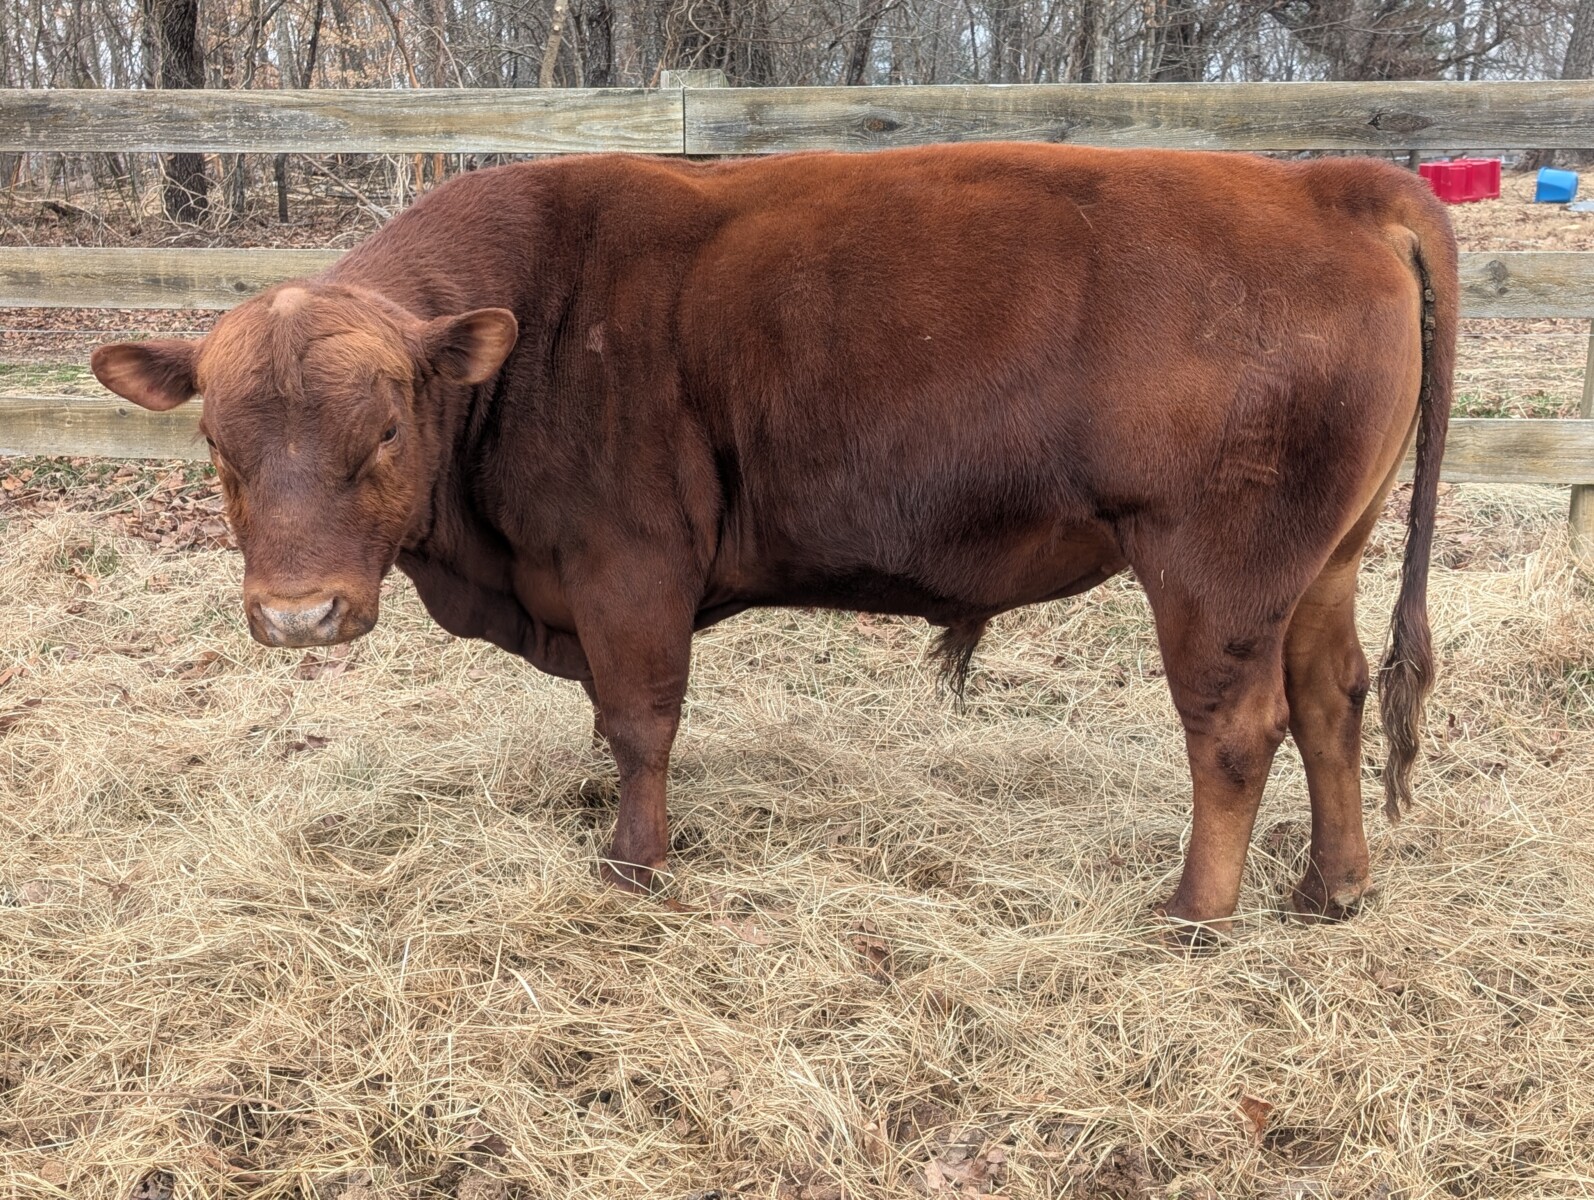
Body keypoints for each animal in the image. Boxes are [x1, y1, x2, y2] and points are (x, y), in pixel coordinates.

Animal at [91, 143, 1456, 937]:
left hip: (1215, 562)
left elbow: (640, 722)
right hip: (1322, 559)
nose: (298, 614)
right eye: (216, 442)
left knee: (1235, 727)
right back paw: (1331, 888)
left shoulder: (630, 564)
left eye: (382, 430)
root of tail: (1329, 180)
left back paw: (1191, 911)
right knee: (1330, 698)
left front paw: (634, 864)